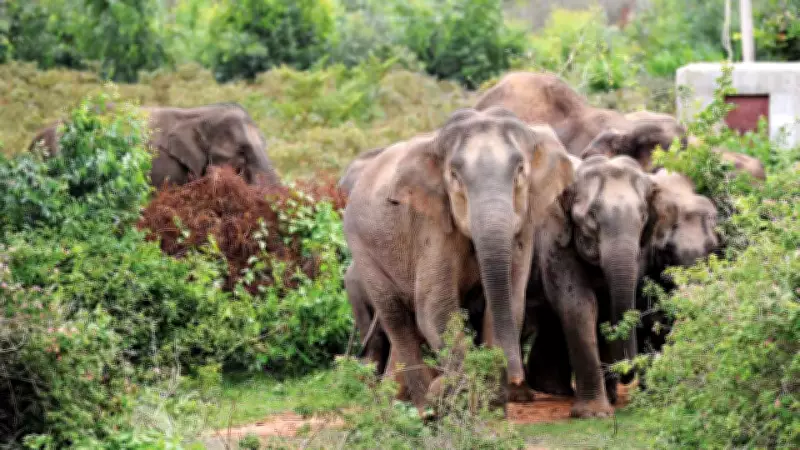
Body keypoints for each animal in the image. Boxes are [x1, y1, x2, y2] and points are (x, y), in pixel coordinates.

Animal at [343, 107, 574, 416]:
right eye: (454, 176)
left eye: (520, 171)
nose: (517, 377)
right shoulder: (432, 225)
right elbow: (436, 312)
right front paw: (462, 398)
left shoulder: (524, 224)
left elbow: (510, 303)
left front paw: (491, 408)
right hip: (363, 250)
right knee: (398, 320)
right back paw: (422, 406)